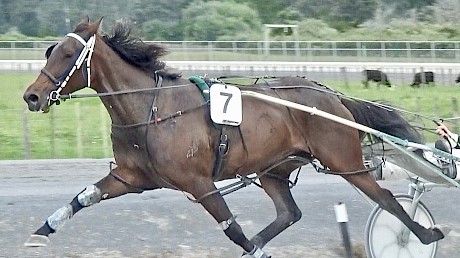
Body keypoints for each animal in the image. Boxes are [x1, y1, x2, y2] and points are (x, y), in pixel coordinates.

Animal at [22, 17, 450, 256]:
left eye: (66, 56)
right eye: (49, 51)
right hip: (274, 169)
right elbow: (84, 197)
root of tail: (332, 95)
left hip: (345, 161)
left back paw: (423, 235)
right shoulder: (132, 177)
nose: (32, 96)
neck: (151, 108)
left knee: (387, 200)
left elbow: (232, 228)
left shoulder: (199, 183)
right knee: (289, 213)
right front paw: (39, 235)